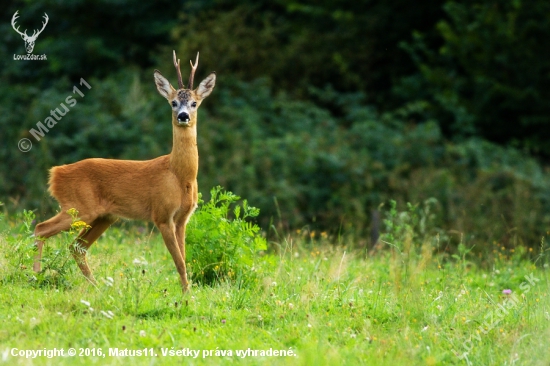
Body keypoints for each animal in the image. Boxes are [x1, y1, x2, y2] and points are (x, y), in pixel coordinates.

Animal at [31, 51, 218, 294]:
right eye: (173, 102)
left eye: (195, 103)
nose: (183, 116)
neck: (180, 175)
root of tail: (55, 173)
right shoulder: (161, 215)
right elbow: (178, 261)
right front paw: (188, 295)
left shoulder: (182, 218)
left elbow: (183, 259)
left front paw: (187, 292)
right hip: (79, 207)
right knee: (41, 228)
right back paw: (35, 275)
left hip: (103, 216)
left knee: (76, 247)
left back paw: (97, 286)